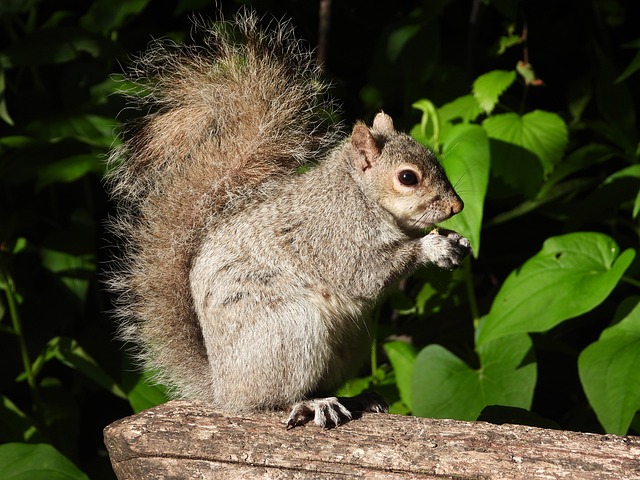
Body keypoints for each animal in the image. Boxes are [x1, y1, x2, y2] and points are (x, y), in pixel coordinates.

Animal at [107, 11, 470, 428]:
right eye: (407, 177)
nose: (457, 207)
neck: (358, 194)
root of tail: (223, 390)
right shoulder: (332, 235)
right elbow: (365, 271)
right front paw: (432, 247)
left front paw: (456, 242)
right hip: (289, 330)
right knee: (271, 400)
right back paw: (312, 404)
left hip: (348, 343)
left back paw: (357, 397)